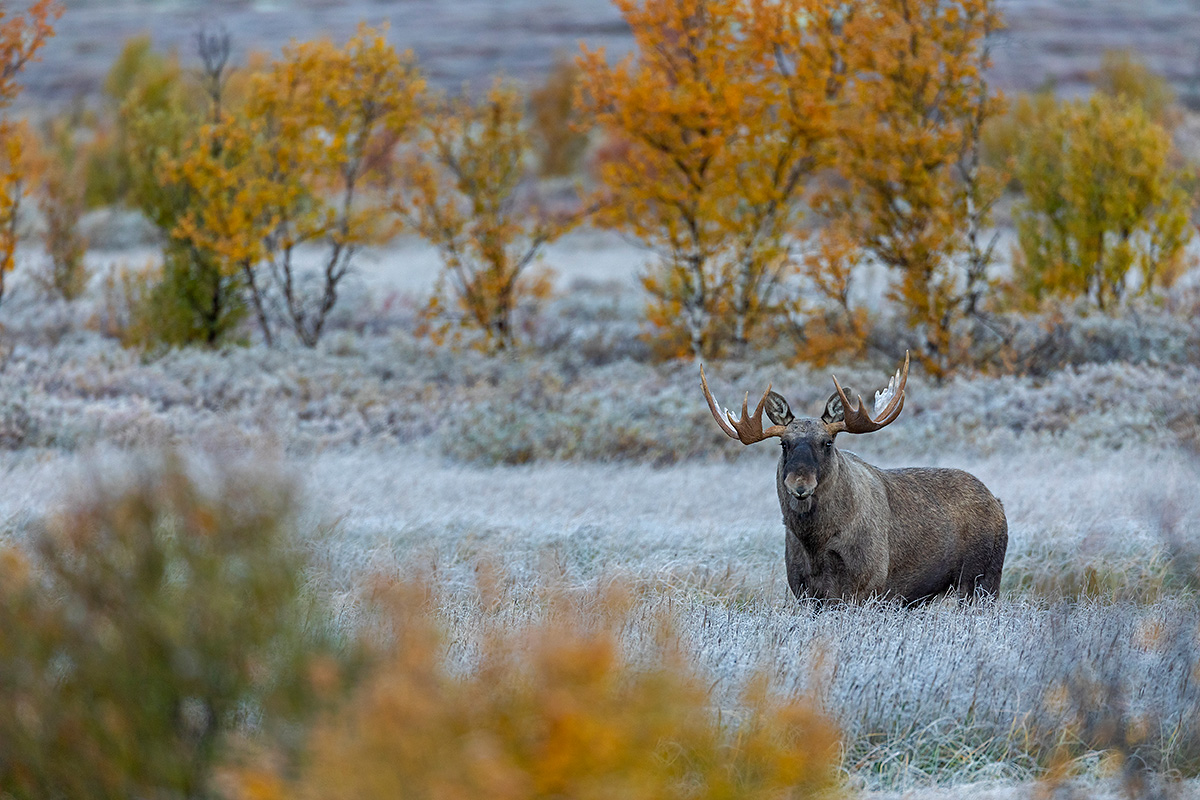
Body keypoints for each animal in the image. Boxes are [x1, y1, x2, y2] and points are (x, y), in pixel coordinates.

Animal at [700, 352, 1008, 604]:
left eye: (827, 442)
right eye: (784, 444)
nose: (799, 485)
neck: (816, 544)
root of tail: (998, 503)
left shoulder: (868, 585)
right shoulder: (804, 591)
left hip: (982, 579)